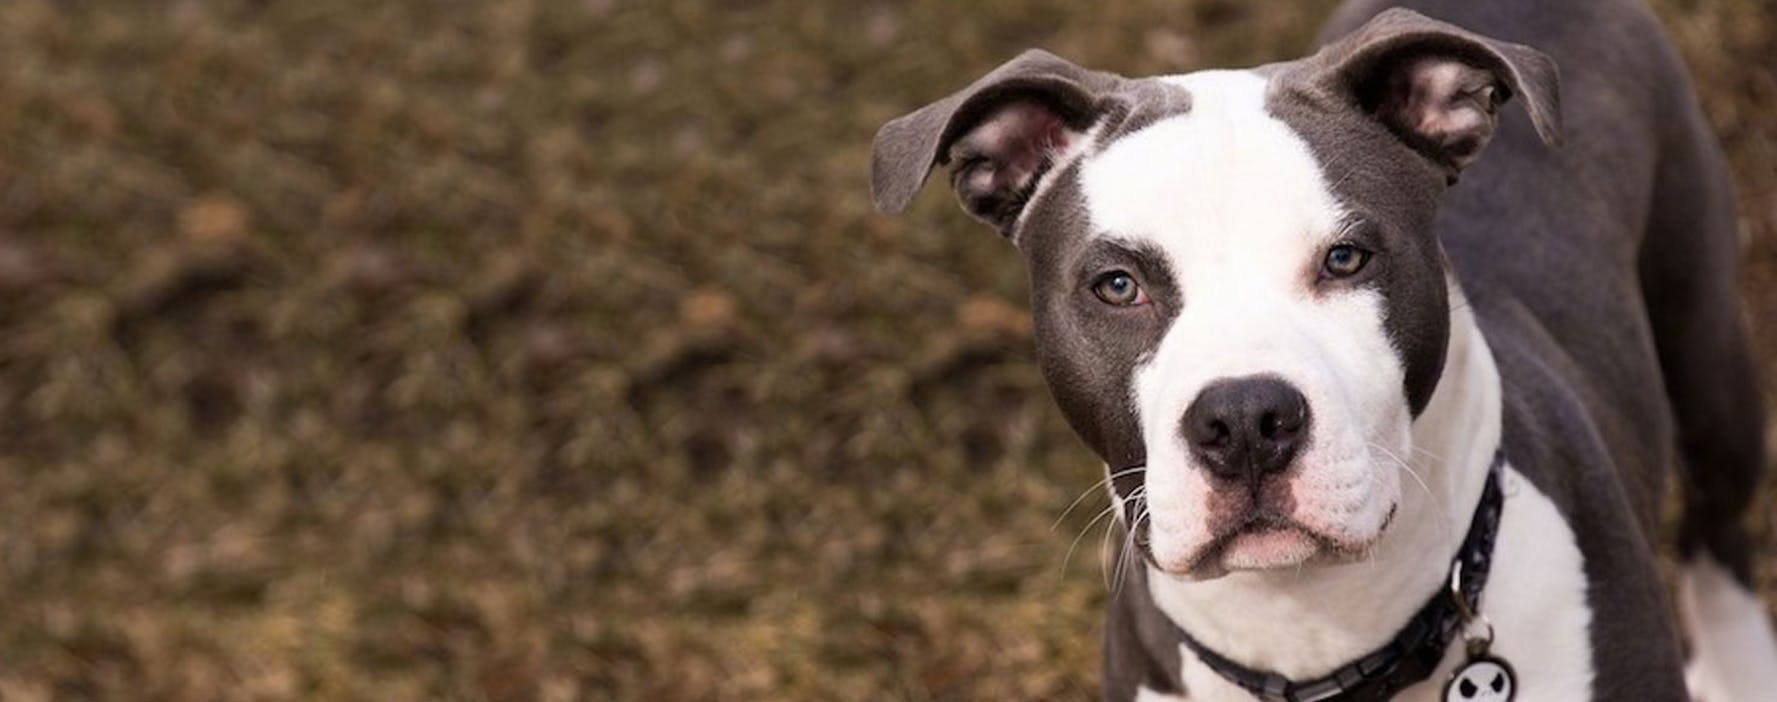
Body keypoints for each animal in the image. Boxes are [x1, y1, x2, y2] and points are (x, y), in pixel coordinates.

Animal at [870, 1, 1777, 702]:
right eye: (1117, 285)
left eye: (1345, 259)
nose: (1242, 419)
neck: (1313, 632)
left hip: (1707, 354)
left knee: (1716, 527)